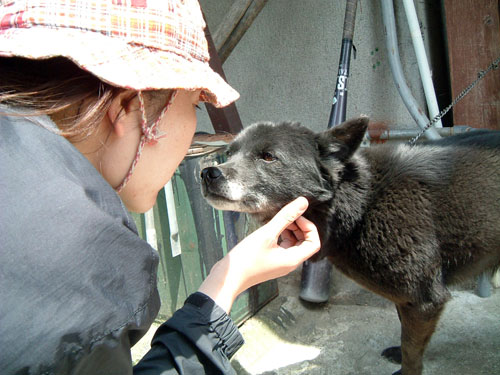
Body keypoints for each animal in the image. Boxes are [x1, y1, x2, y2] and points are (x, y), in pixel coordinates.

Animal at [200, 117, 500, 375]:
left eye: (268, 156)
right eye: (229, 153)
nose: (207, 173)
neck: (364, 204)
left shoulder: (425, 300)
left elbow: (412, 351)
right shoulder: (409, 300)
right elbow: (406, 337)